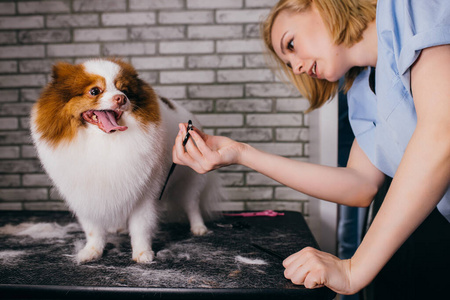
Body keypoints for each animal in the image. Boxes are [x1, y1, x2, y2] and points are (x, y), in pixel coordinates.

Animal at [30, 57, 221, 264]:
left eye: (125, 90)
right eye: (94, 91)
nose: (121, 98)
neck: (104, 141)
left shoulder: (144, 191)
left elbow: (140, 226)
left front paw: (143, 253)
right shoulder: (86, 194)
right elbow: (93, 229)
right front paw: (91, 251)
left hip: (189, 180)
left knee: (192, 204)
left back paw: (198, 227)